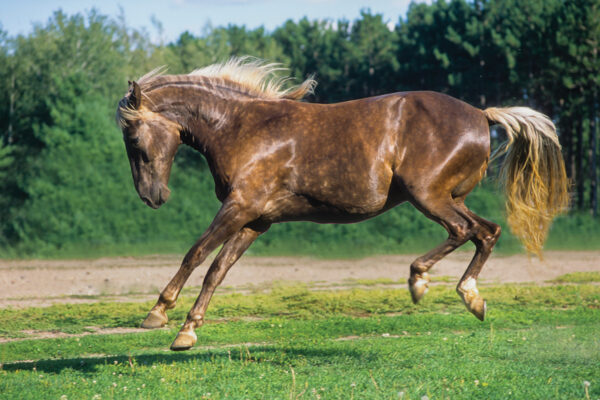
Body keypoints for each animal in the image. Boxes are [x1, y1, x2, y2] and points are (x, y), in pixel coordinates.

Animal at [116, 57, 568, 350]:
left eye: (134, 138)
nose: (152, 196)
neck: (243, 128)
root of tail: (482, 114)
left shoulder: (239, 207)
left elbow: (195, 255)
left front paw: (157, 313)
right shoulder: (255, 220)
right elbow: (217, 271)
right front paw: (187, 332)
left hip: (428, 195)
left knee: (465, 230)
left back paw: (420, 281)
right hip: (449, 196)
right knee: (486, 232)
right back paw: (471, 297)